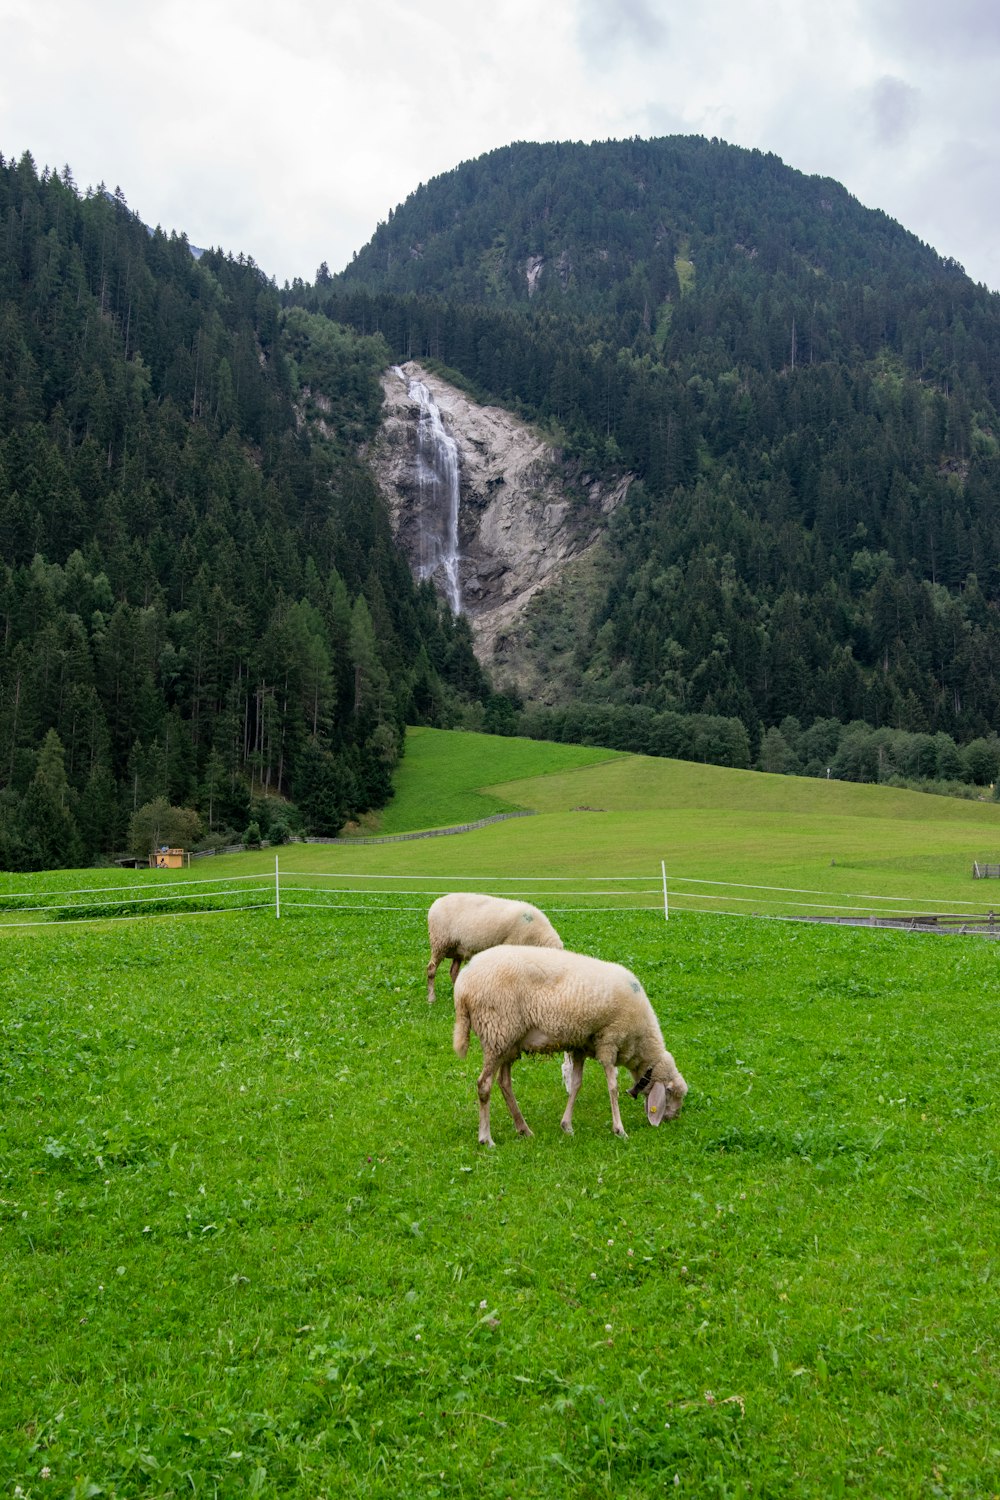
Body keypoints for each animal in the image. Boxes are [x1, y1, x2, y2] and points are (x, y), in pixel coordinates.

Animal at [425, 888, 563, 1008]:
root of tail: (437, 902)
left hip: (458, 949)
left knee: (454, 972)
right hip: (439, 942)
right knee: (431, 969)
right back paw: (431, 998)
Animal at [452, 948, 689, 1146]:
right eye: (670, 1092)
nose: (672, 1118)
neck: (640, 1044)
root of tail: (462, 986)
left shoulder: (580, 1047)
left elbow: (576, 1084)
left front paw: (567, 1126)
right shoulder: (609, 1041)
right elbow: (612, 1086)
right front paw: (619, 1129)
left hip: (508, 1041)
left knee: (504, 1083)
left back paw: (523, 1129)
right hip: (497, 1033)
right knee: (484, 1085)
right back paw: (486, 1138)